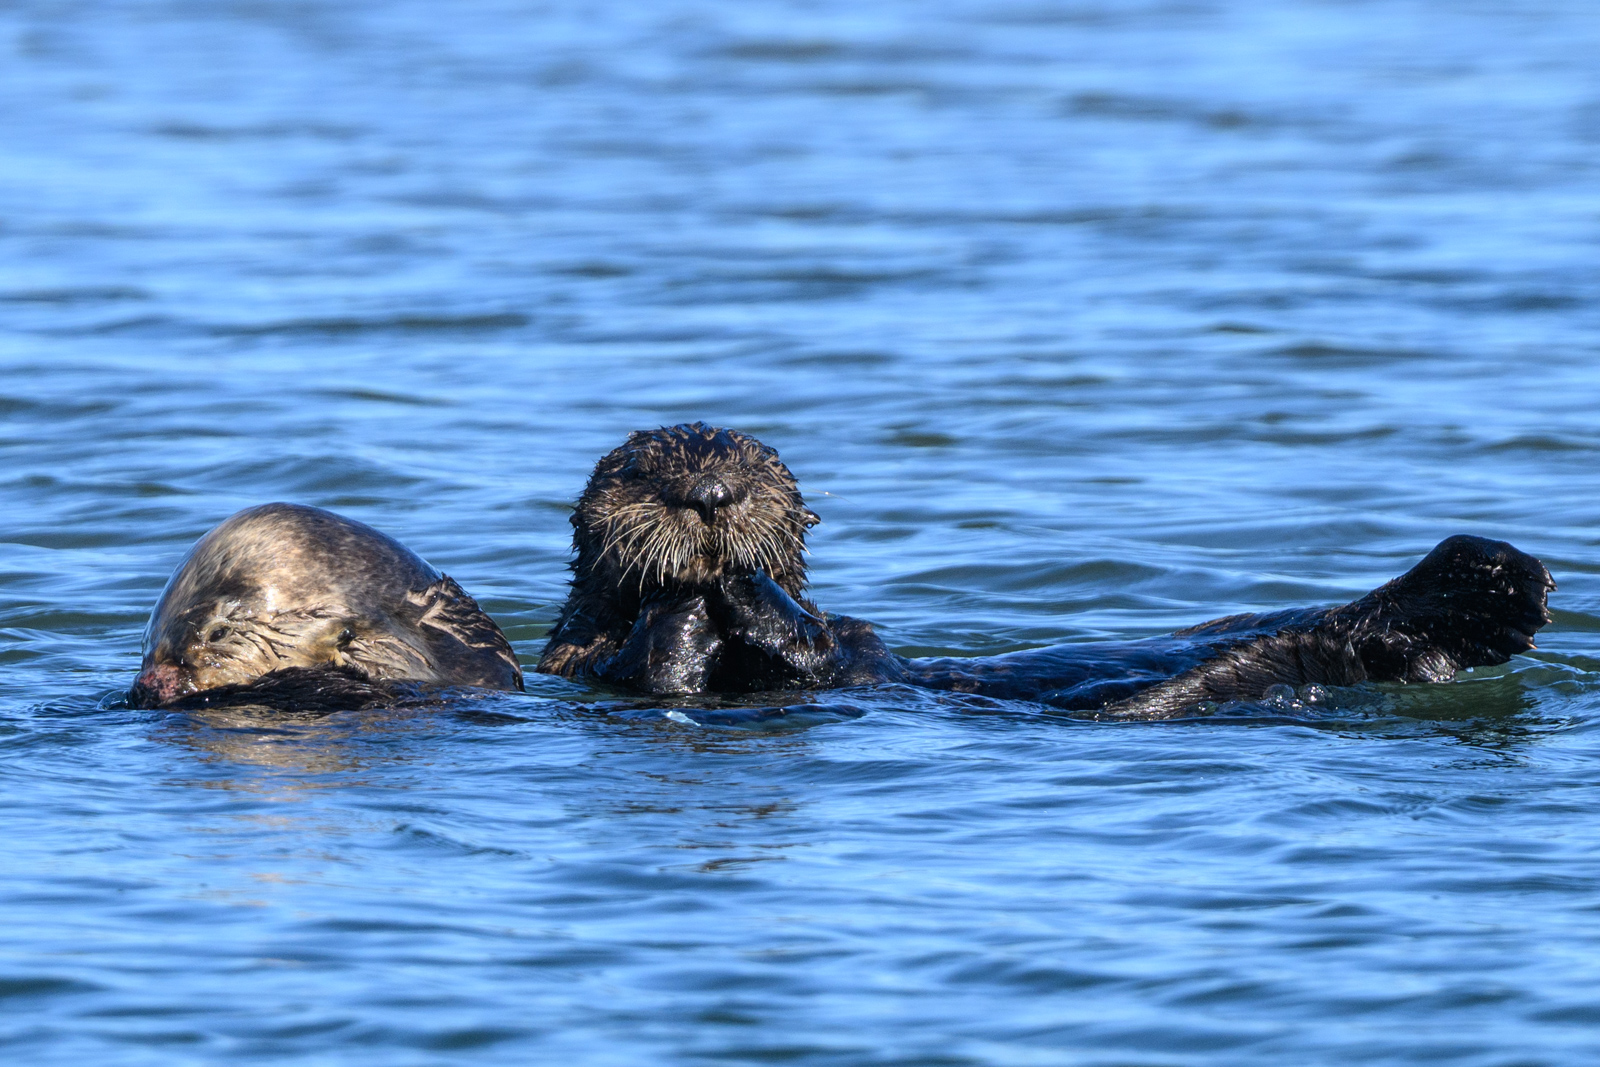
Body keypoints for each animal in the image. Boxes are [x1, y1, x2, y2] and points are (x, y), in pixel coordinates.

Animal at [538, 423, 1554, 719]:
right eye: (643, 475)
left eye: (751, 472)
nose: (709, 498)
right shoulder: (576, 668)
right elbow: (650, 667)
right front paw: (695, 593)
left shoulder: (853, 638)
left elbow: (833, 638)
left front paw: (744, 583)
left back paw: (1503, 578)